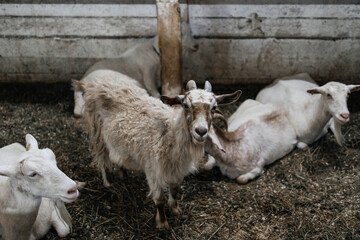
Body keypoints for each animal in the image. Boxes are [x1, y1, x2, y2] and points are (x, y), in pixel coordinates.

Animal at [80, 74, 240, 229]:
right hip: (97, 133)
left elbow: (174, 190)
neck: (170, 133)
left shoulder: (177, 170)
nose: (201, 131)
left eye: (214, 107)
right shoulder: (153, 170)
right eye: (186, 105)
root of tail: (97, 83)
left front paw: (175, 209)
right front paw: (162, 223)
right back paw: (109, 184)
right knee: (102, 159)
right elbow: (159, 199)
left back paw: (123, 175)